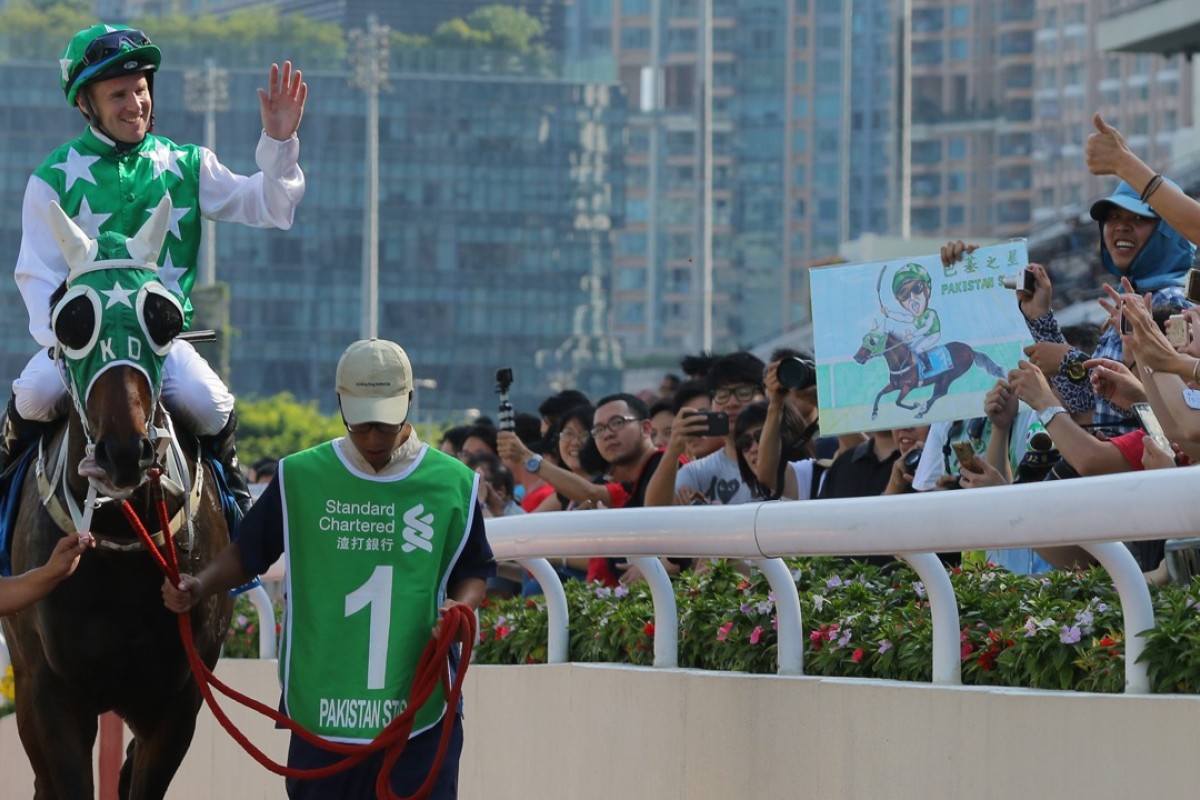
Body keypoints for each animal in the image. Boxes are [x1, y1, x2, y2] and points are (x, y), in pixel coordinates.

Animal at [1, 199, 234, 800]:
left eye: (163, 318)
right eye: (71, 321)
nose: (124, 453)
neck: (121, 539)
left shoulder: (177, 701)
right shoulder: (48, 697)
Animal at [849, 328, 1008, 422]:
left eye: (872, 341)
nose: (856, 357)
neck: (903, 363)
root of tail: (970, 350)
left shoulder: (907, 387)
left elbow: (897, 402)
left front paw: (915, 405)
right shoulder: (894, 385)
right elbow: (879, 394)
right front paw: (874, 413)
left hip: (949, 376)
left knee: (941, 393)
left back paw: (922, 409)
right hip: (941, 379)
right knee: (939, 393)